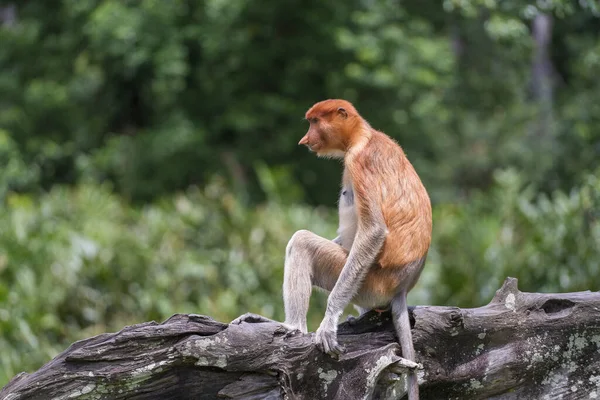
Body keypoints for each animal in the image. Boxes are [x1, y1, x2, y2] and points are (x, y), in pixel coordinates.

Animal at [232, 98, 428, 398]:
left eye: (314, 122)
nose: (304, 140)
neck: (361, 135)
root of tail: (402, 287)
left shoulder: (359, 162)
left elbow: (373, 231)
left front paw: (328, 323)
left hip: (369, 284)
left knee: (301, 242)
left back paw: (294, 328)